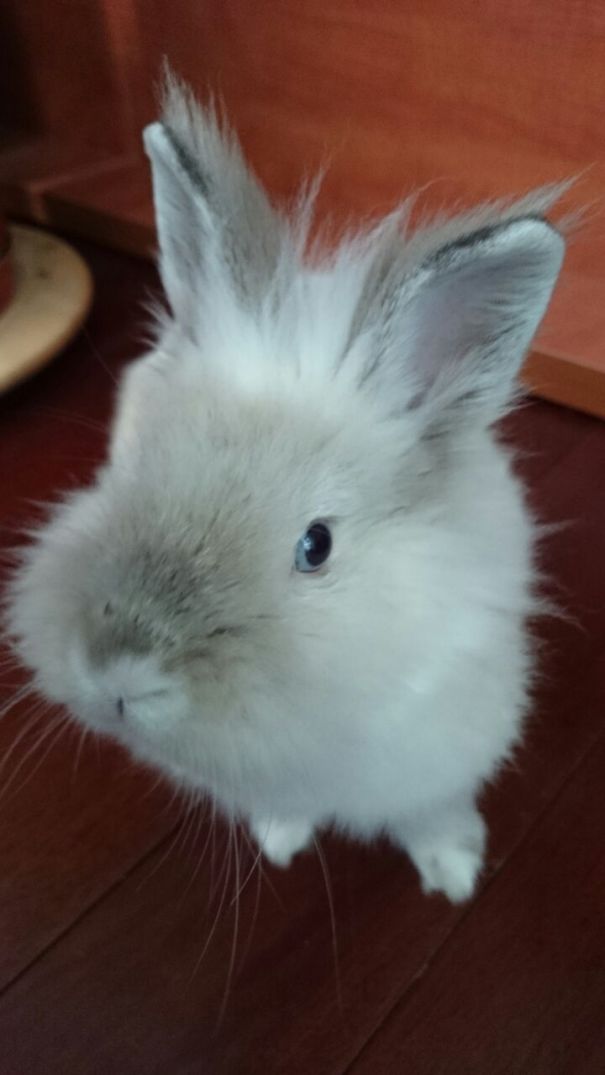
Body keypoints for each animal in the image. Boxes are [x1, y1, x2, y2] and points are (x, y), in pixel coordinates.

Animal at [4, 73, 566, 904]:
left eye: (316, 545)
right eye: (129, 469)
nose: (118, 674)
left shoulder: (449, 748)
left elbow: (434, 811)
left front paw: (453, 871)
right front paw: (280, 838)